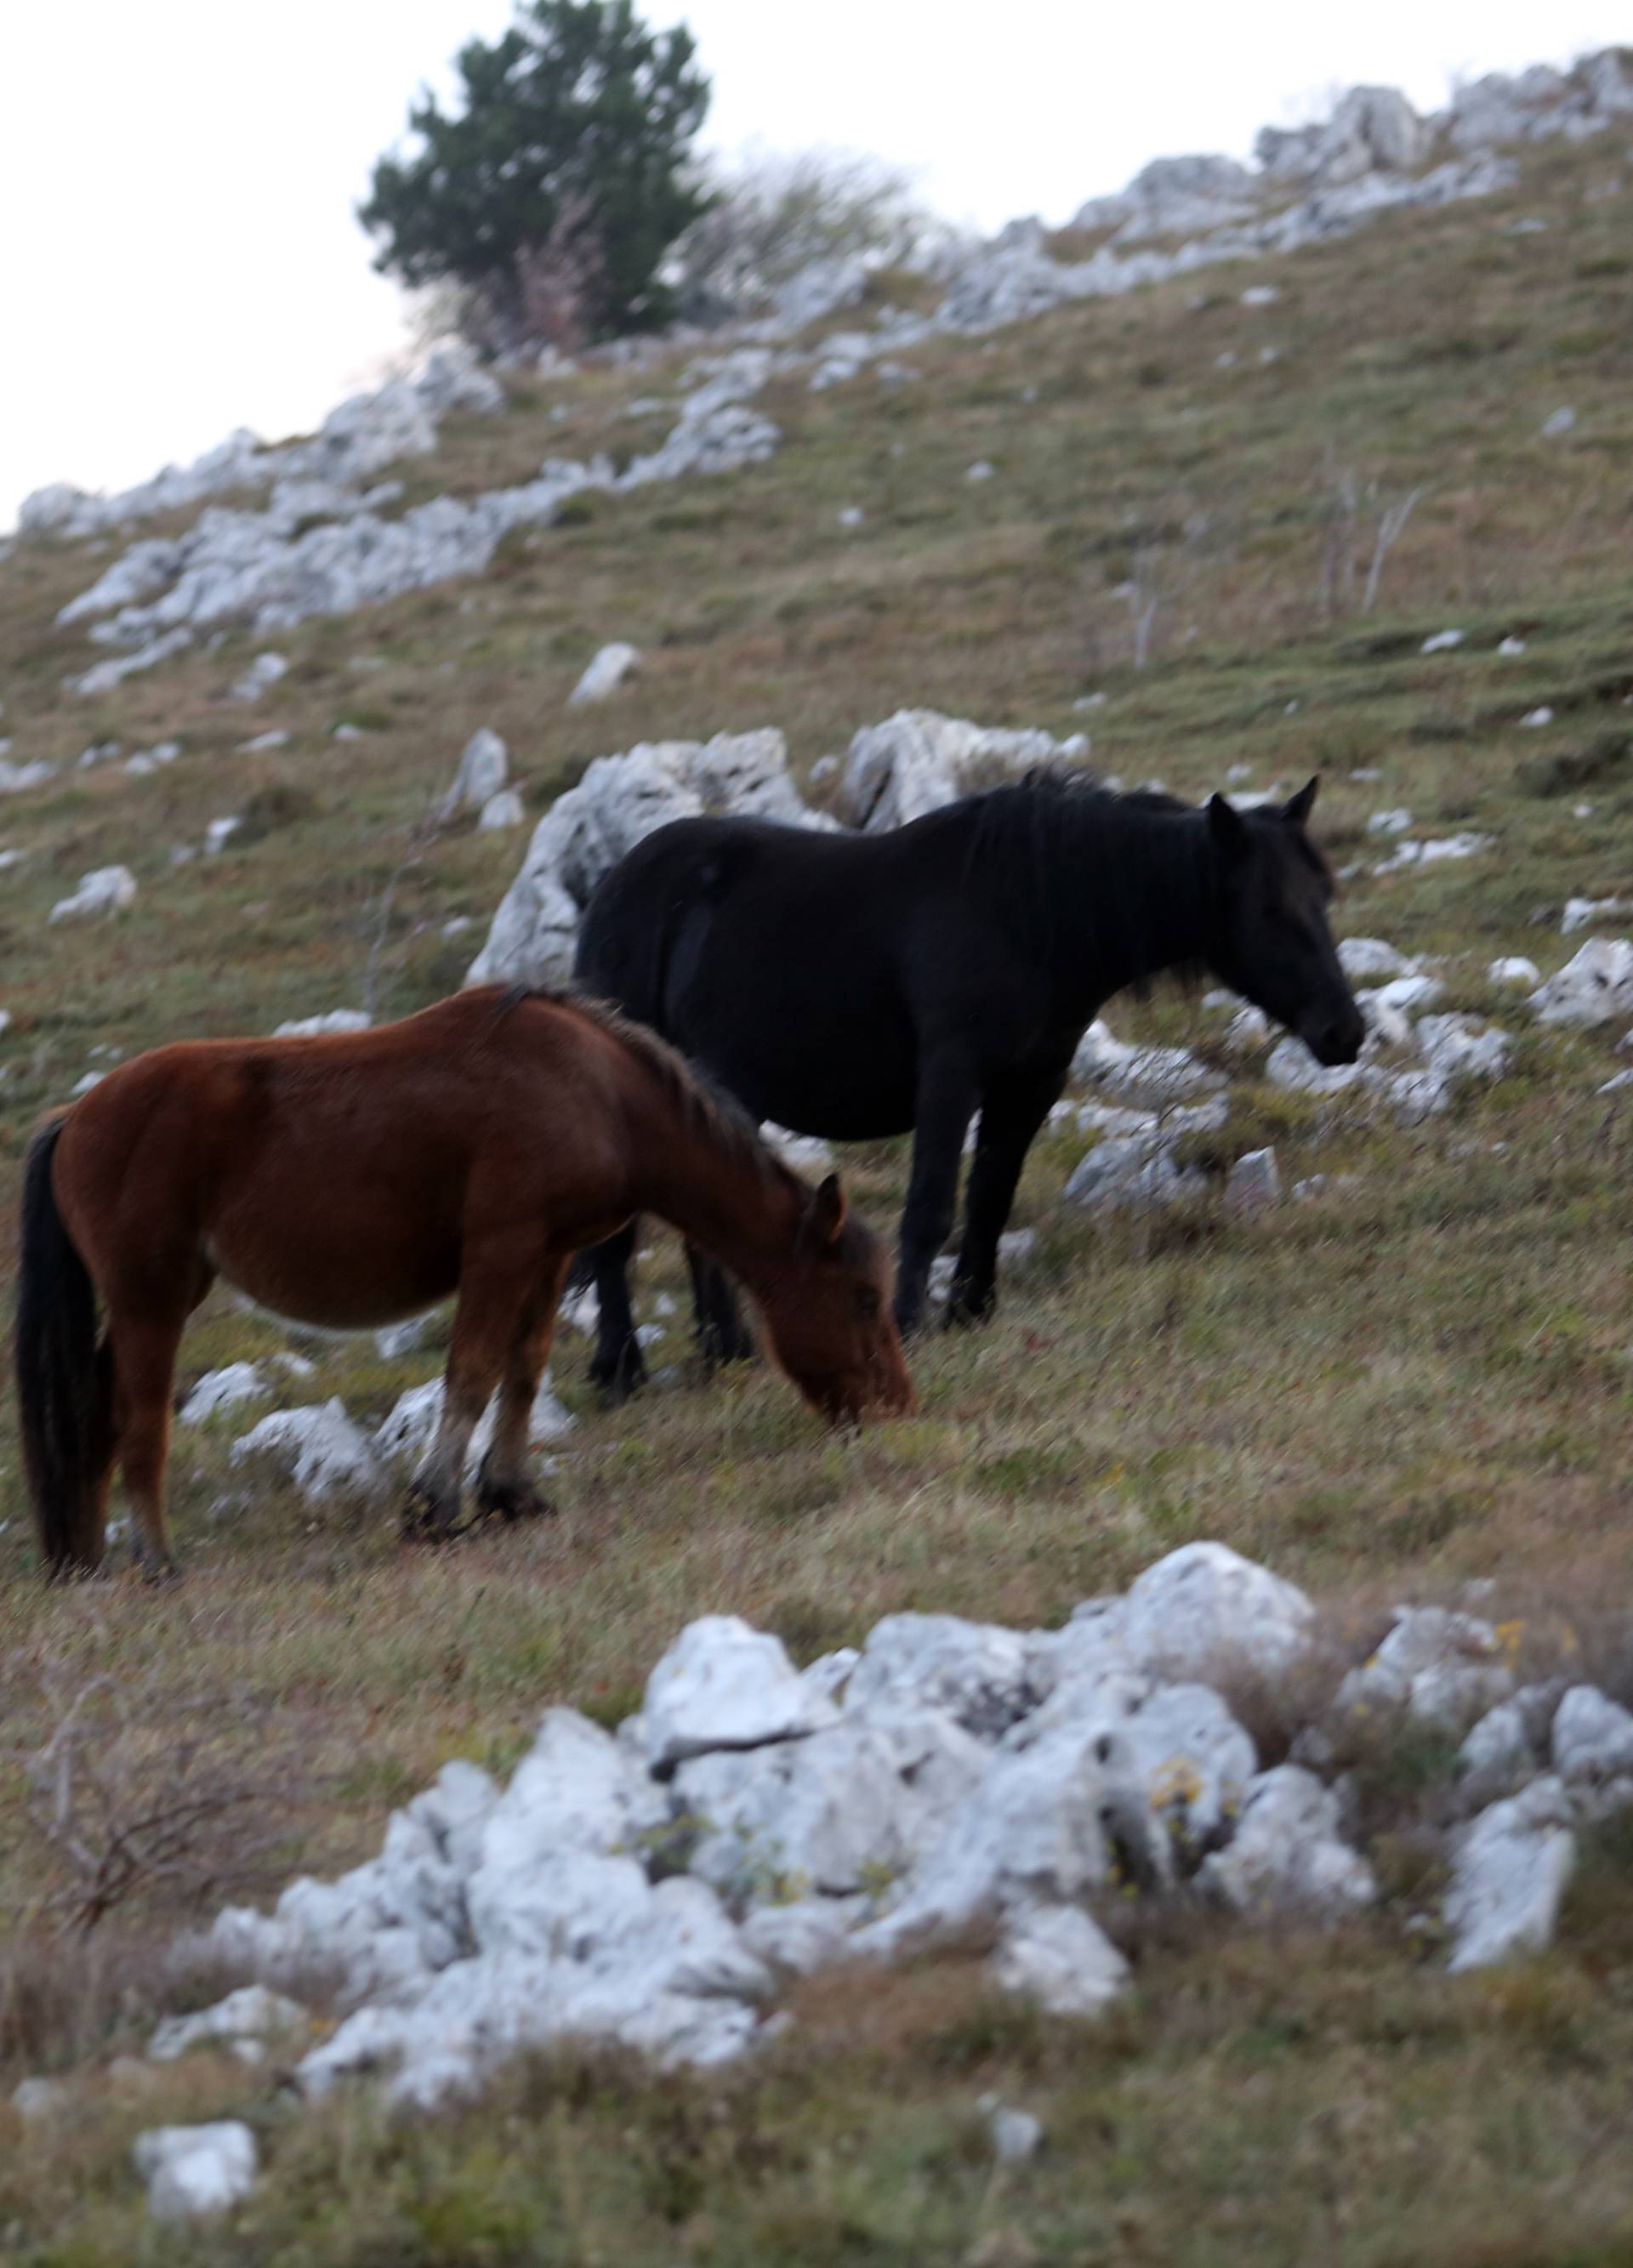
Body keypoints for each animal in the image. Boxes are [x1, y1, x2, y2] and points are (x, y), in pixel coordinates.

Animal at [13, 984, 912, 1587]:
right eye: (864, 1298)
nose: (897, 1408)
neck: (597, 1089)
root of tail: (74, 1117)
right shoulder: (501, 1249)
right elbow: (472, 1373)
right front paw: (435, 1510)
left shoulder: (547, 1255)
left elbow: (523, 1369)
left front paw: (512, 1493)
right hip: (151, 1300)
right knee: (138, 1424)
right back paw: (157, 1561)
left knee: (92, 1416)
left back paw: (87, 1562)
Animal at [573, 770, 1361, 1388]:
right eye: (1268, 908)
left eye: (1323, 896)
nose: (1344, 1032)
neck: (1030, 911)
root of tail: (611, 888)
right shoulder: (952, 1076)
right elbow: (930, 1206)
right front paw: (910, 1322)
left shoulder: (1031, 1084)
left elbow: (991, 1197)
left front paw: (972, 1310)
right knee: (615, 1242)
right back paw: (620, 1369)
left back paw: (726, 1350)